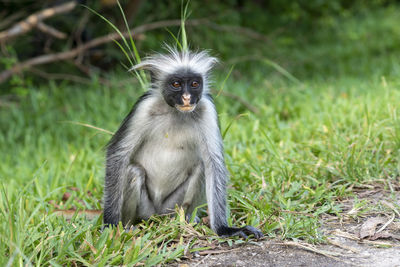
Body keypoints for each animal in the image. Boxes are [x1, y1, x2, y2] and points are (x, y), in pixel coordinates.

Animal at [104, 47, 262, 240]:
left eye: (194, 84)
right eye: (176, 84)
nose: (187, 98)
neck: (176, 113)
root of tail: (157, 215)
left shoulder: (206, 108)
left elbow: (213, 163)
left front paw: (225, 229)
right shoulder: (143, 108)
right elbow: (118, 154)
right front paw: (110, 225)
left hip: (171, 207)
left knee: (201, 168)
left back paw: (184, 221)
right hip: (146, 209)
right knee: (134, 171)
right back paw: (128, 226)